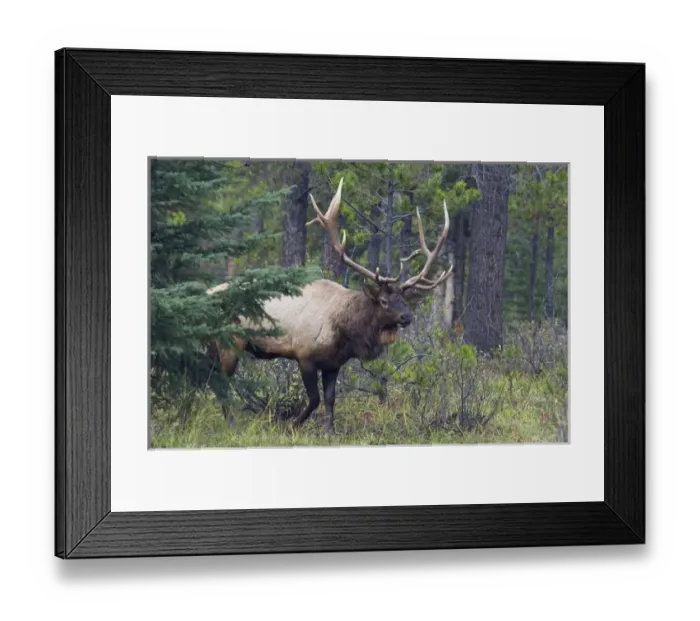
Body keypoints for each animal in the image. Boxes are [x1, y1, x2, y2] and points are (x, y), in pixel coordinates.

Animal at [206, 178, 452, 435]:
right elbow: (314, 399)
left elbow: (330, 398)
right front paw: (292, 425)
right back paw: (231, 424)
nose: (407, 317)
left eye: (404, 301)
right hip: (230, 342)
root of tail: (206, 293)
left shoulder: (333, 363)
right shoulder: (304, 355)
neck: (343, 332)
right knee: (221, 382)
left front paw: (329, 430)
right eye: (384, 301)